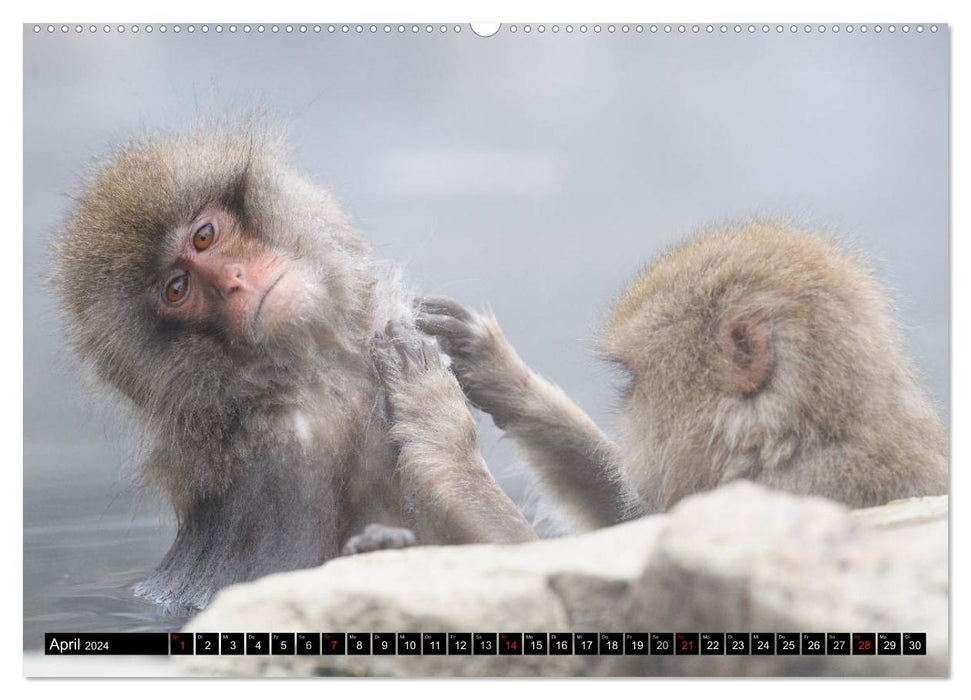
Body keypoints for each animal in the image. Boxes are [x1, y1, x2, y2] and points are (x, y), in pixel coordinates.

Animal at [52, 126, 536, 608]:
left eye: (204, 237)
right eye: (177, 289)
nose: (234, 281)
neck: (316, 377)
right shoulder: (284, 467)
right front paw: (435, 414)